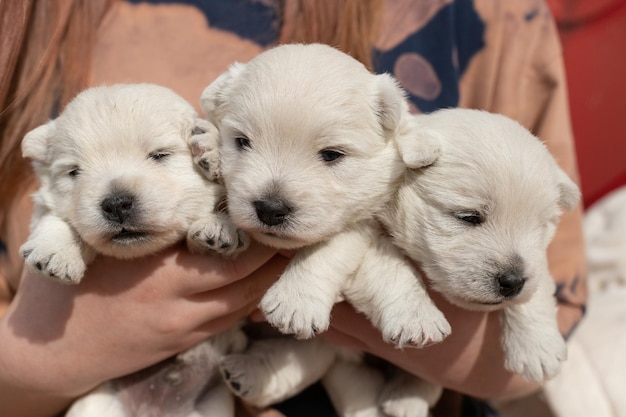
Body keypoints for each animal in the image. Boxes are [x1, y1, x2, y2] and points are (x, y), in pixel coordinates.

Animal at [17, 82, 246, 416]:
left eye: (159, 155)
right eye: (74, 171)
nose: (116, 203)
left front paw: (218, 227)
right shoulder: (46, 203)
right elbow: (55, 217)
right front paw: (56, 252)